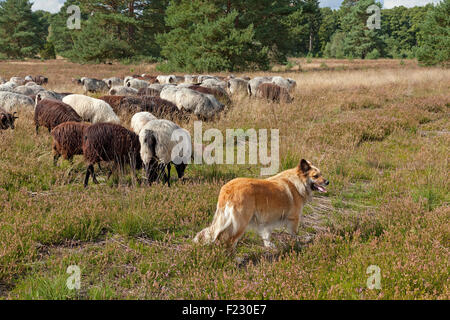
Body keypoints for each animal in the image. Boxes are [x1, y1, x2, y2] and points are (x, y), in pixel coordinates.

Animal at [195, 159, 328, 249]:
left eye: (321, 174)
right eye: (315, 176)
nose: (327, 182)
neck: (298, 182)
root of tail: (228, 189)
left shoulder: (267, 219)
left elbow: (266, 234)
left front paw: (269, 246)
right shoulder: (294, 219)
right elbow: (294, 235)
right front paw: (298, 246)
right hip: (240, 224)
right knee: (230, 241)